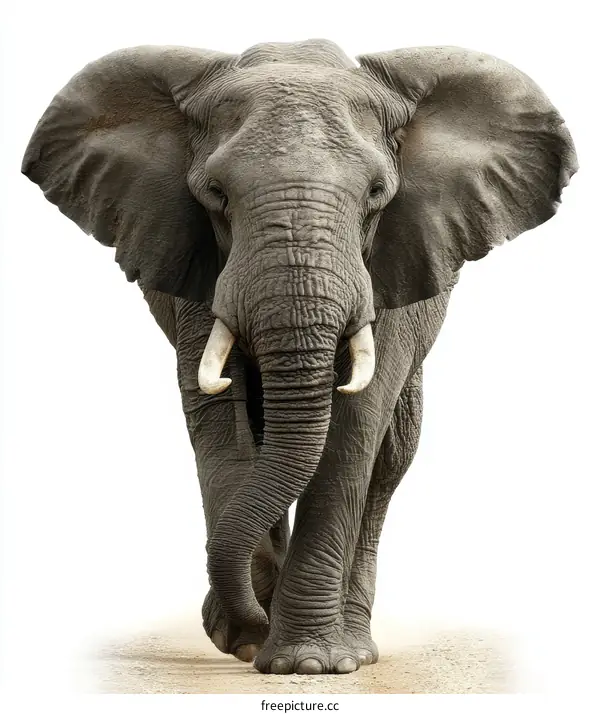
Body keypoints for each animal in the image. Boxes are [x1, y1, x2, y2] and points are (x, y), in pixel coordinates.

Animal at [22, 38, 577, 676]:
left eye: (377, 195)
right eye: (216, 195)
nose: (245, 629)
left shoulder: (387, 263)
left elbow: (355, 424)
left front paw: (308, 663)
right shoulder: (199, 263)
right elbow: (218, 420)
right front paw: (246, 638)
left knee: (391, 456)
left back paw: (354, 644)